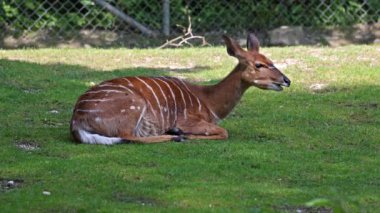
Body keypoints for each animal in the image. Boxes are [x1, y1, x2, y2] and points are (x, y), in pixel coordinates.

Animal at [70, 33, 290, 145]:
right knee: (128, 136)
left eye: (270, 60)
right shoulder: (189, 120)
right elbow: (223, 131)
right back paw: (174, 135)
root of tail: (76, 121)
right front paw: (181, 133)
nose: (286, 80)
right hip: (134, 105)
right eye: (259, 65)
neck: (210, 102)